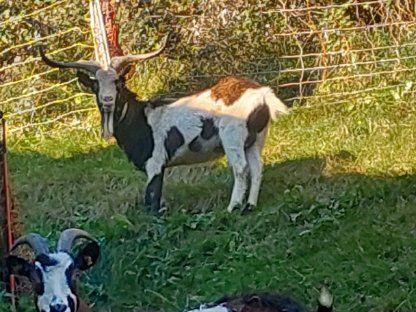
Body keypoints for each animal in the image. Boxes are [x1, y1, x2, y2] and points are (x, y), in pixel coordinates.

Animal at [39, 36, 290, 212]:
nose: (108, 99)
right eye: (96, 86)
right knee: (257, 168)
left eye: (118, 82)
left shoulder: (155, 163)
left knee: (241, 168)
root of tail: (262, 94)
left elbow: (151, 200)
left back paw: (233, 207)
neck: (141, 120)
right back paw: (250, 205)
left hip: (233, 137)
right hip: (255, 140)